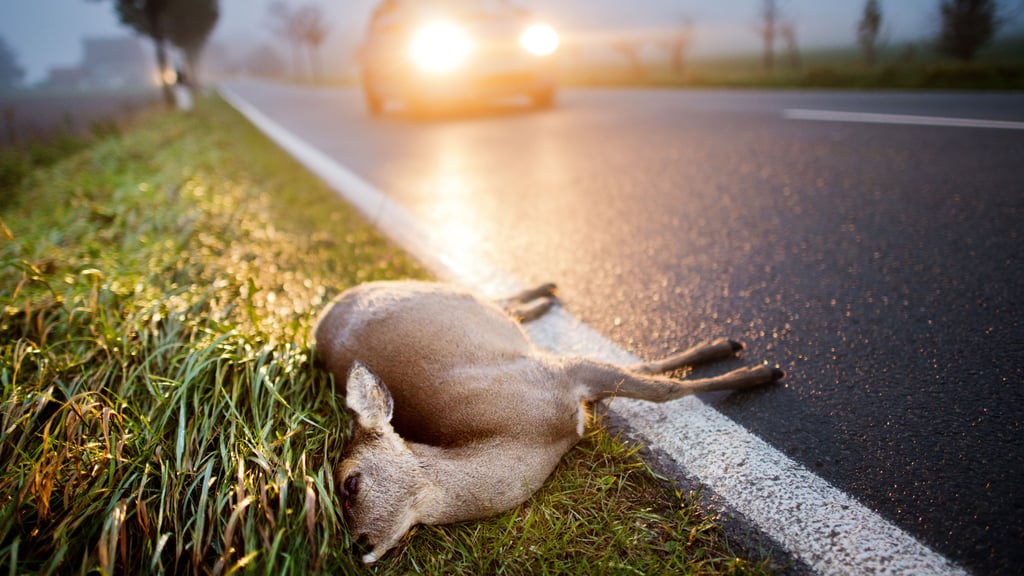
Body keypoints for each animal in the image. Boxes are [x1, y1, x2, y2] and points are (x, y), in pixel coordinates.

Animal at [313, 280, 784, 564]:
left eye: (349, 482)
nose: (356, 547)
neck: (532, 436)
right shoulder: (566, 379)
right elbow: (649, 374)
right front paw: (741, 360)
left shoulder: (558, 373)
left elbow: (661, 387)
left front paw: (755, 369)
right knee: (499, 301)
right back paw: (545, 297)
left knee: (493, 296)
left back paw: (546, 293)